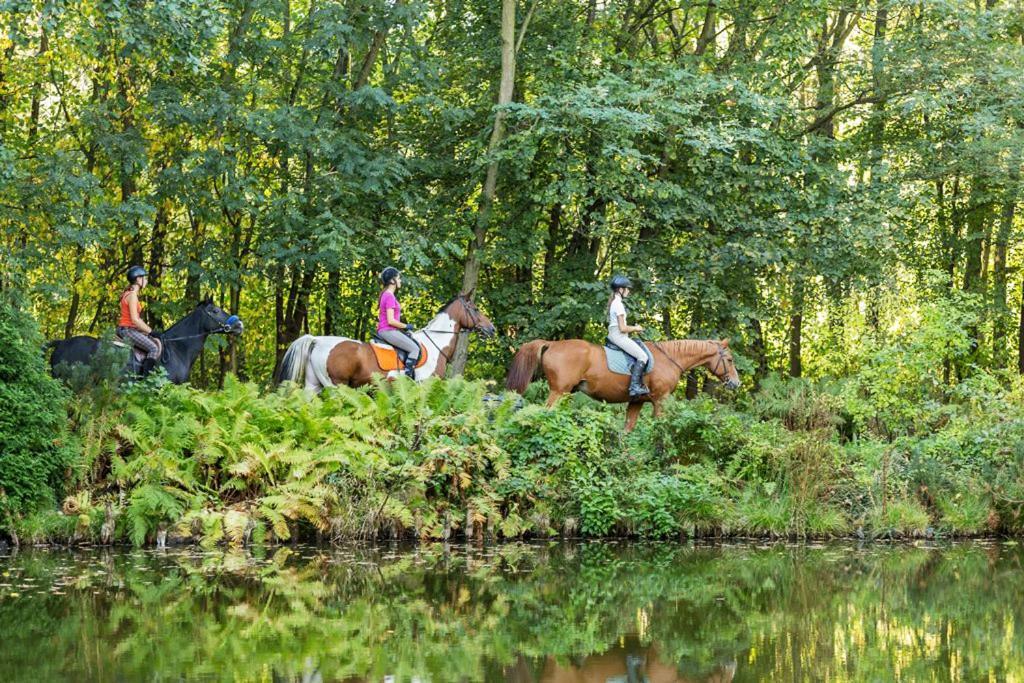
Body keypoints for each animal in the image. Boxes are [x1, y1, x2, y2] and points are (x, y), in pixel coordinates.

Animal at [272, 296, 495, 393]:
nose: (491, 329)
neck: (435, 344)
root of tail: (318, 340)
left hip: (313, 385)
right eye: (475, 309)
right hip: (335, 385)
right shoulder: (424, 386)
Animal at [505, 339, 741, 430]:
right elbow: (658, 426)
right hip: (559, 391)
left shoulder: (636, 402)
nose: (736, 383)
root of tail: (552, 343)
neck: (669, 359)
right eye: (729, 360)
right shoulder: (661, 400)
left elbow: (628, 428)